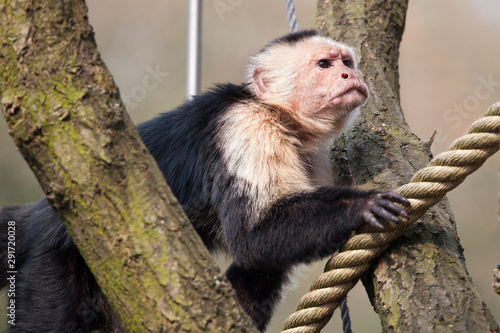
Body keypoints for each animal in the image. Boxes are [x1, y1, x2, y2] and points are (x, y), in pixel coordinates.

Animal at [0, 29, 408, 330]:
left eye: (346, 62)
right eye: (324, 64)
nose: (349, 75)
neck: (276, 114)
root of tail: (39, 214)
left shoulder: (313, 159)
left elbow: (261, 257)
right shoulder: (245, 128)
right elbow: (255, 235)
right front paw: (362, 204)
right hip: (51, 263)